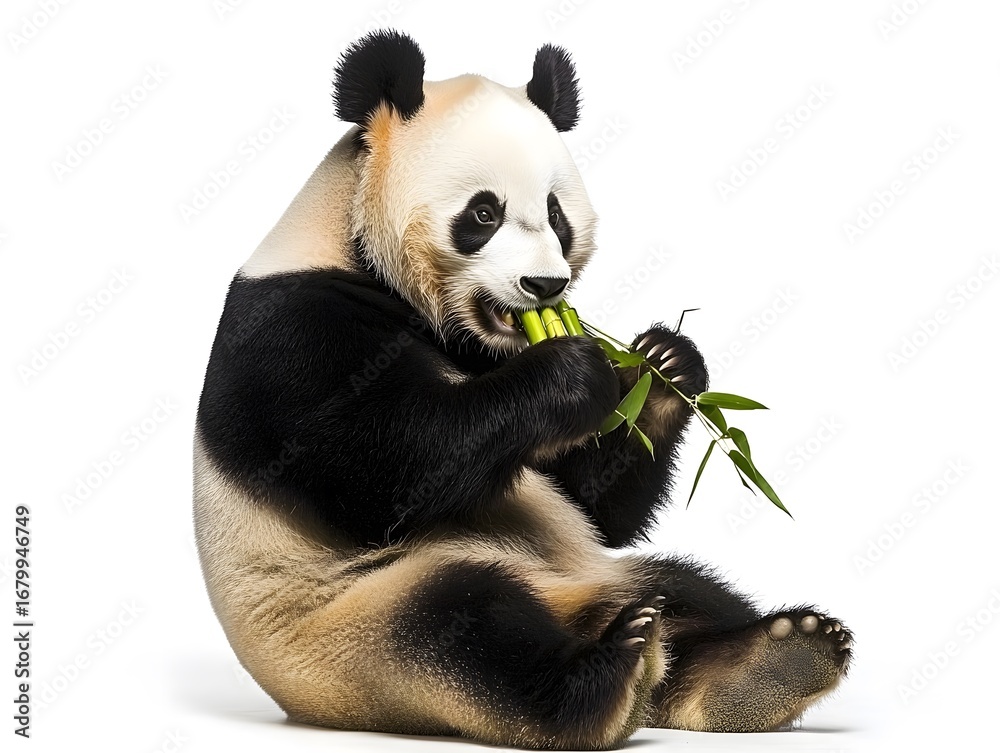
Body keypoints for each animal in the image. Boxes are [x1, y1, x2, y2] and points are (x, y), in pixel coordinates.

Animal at [194, 30, 852, 750]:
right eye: (484, 213)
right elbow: (383, 470)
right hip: (355, 627)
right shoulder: (292, 326)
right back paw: (608, 680)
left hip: (600, 571)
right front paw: (573, 372)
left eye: (557, 215)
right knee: (465, 628)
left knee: (685, 589)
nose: (546, 287)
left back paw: (767, 662)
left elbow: (587, 498)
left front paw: (662, 367)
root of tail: (571, 608)